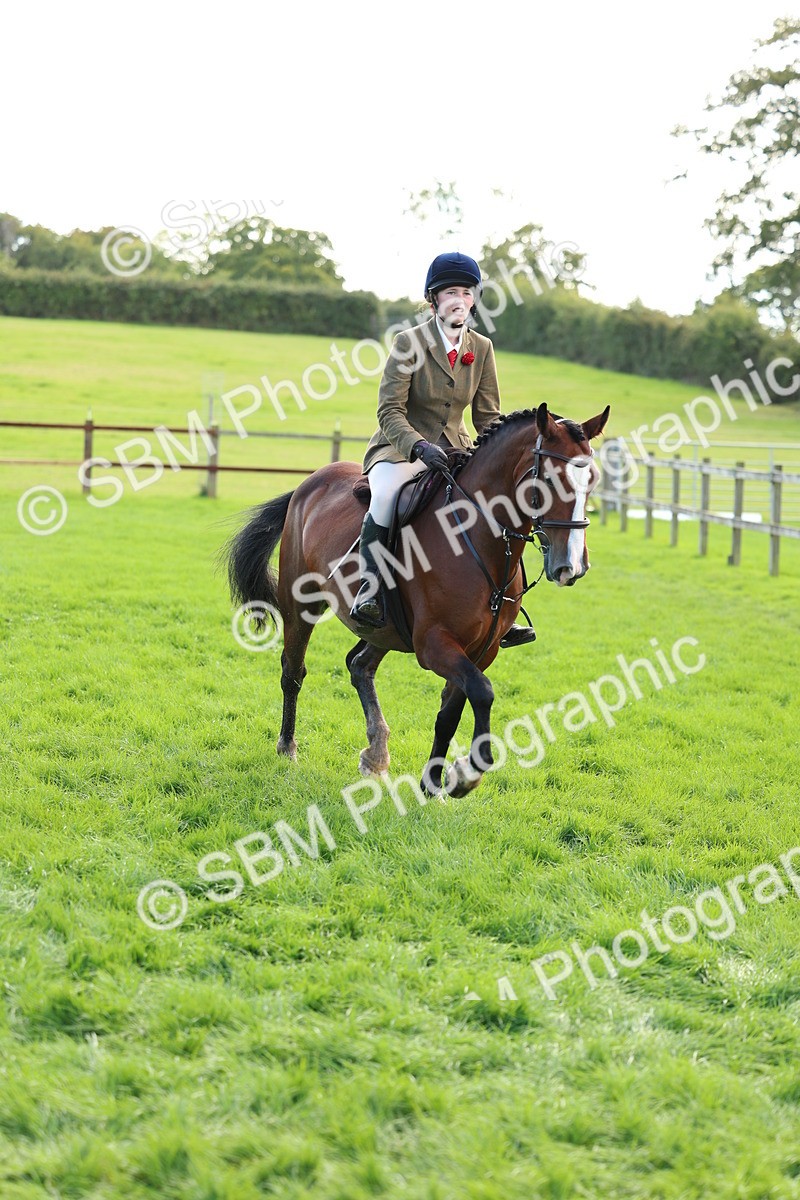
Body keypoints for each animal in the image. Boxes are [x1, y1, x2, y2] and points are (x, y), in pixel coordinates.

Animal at [225, 401, 610, 797]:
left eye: (592, 481)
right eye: (548, 480)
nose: (572, 566)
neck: (477, 537)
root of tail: (310, 482)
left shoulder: (481, 650)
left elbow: (451, 712)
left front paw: (433, 783)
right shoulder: (434, 644)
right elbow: (483, 692)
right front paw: (467, 774)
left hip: (384, 629)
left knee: (360, 666)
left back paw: (375, 753)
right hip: (300, 606)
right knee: (293, 671)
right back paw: (288, 747)